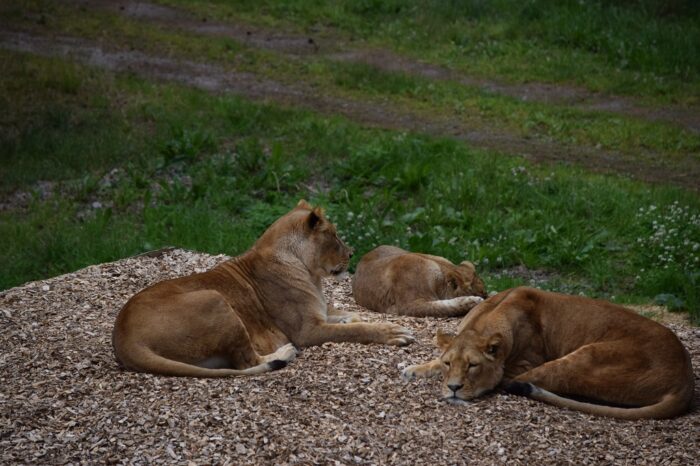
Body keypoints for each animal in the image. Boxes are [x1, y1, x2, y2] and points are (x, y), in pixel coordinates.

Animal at [112, 200, 414, 377]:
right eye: (334, 235)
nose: (351, 254)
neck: (309, 272)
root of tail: (123, 338)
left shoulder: (319, 312)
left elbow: (347, 315)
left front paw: (350, 318)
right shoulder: (307, 331)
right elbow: (357, 329)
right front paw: (391, 332)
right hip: (214, 299)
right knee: (246, 361)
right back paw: (285, 353)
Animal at [401, 287, 694, 419]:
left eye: (473, 366)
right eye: (449, 363)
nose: (453, 388)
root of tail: (686, 380)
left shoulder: (527, 360)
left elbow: (503, 376)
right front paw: (414, 369)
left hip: (587, 357)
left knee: (517, 383)